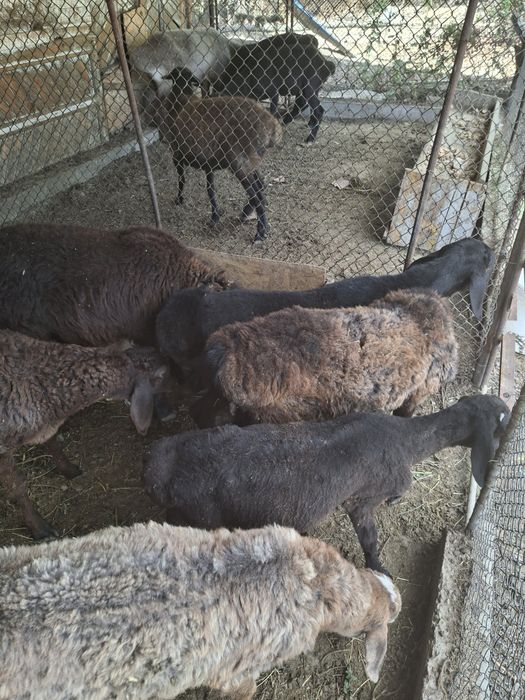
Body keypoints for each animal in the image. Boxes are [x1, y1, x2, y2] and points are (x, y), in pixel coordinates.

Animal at [0, 330, 171, 539]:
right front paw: (39, 527)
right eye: (163, 374)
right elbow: (18, 488)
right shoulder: (3, 448)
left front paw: (68, 469)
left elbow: (52, 442)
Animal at [143, 395, 510, 575]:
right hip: (202, 516)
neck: (406, 440)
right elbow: (370, 539)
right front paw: (379, 570)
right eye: (499, 424)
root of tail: (160, 469)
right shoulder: (363, 499)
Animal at [150, 67, 283, 241]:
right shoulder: (209, 164)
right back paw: (248, 215)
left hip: (240, 163)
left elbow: (182, 179)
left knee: (256, 195)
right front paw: (215, 216)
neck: (182, 96)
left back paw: (260, 233)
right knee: (260, 186)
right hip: (252, 162)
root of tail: (273, 127)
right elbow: (210, 189)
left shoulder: (177, 155)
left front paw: (179, 199)